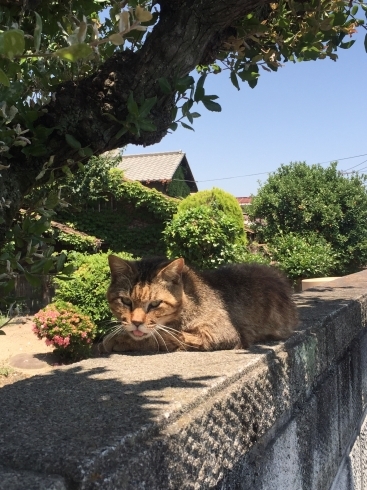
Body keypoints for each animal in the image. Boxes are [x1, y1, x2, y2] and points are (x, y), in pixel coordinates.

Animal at [101, 256, 300, 352]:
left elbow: (165, 337)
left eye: (156, 304)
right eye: (126, 301)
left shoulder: (220, 333)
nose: (136, 323)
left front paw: (119, 340)